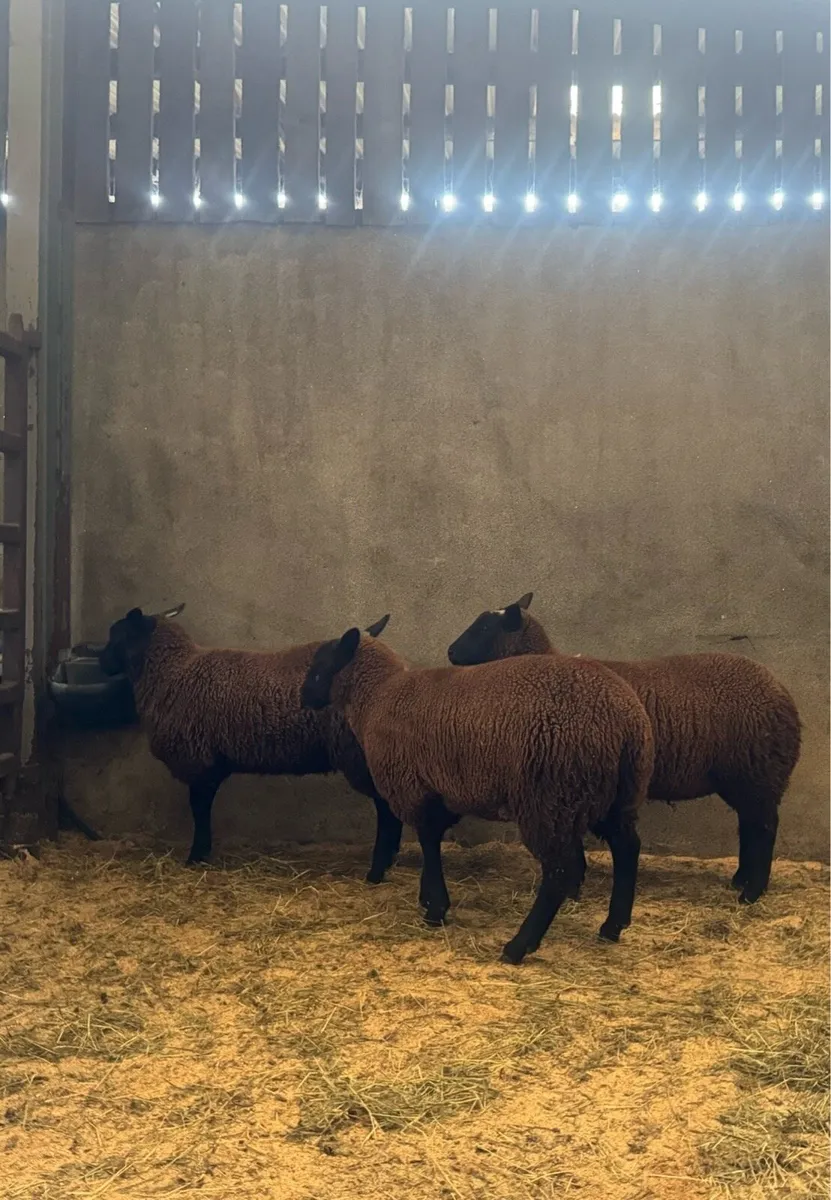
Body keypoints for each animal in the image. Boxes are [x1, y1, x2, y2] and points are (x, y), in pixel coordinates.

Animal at [98, 604, 404, 881]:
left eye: (117, 635)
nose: (101, 664)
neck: (172, 672)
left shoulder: (199, 760)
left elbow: (199, 810)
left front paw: (196, 856)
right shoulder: (211, 764)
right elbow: (202, 809)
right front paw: (202, 853)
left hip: (363, 756)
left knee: (386, 809)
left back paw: (377, 870)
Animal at [300, 621, 654, 964]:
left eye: (320, 666)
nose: (303, 698)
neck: (377, 696)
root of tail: (625, 720)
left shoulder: (413, 787)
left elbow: (428, 843)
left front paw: (435, 908)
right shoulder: (437, 792)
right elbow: (430, 843)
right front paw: (428, 899)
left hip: (551, 795)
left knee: (558, 871)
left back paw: (518, 947)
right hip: (614, 795)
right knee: (627, 848)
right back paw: (612, 926)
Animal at [447, 592, 802, 904]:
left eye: (484, 628)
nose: (450, 652)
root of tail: (781, 692)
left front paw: (572, 890)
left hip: (756, 773)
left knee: (764, 828)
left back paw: (751, 893)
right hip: (746, 777)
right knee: (750, 824)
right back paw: (740, 880)